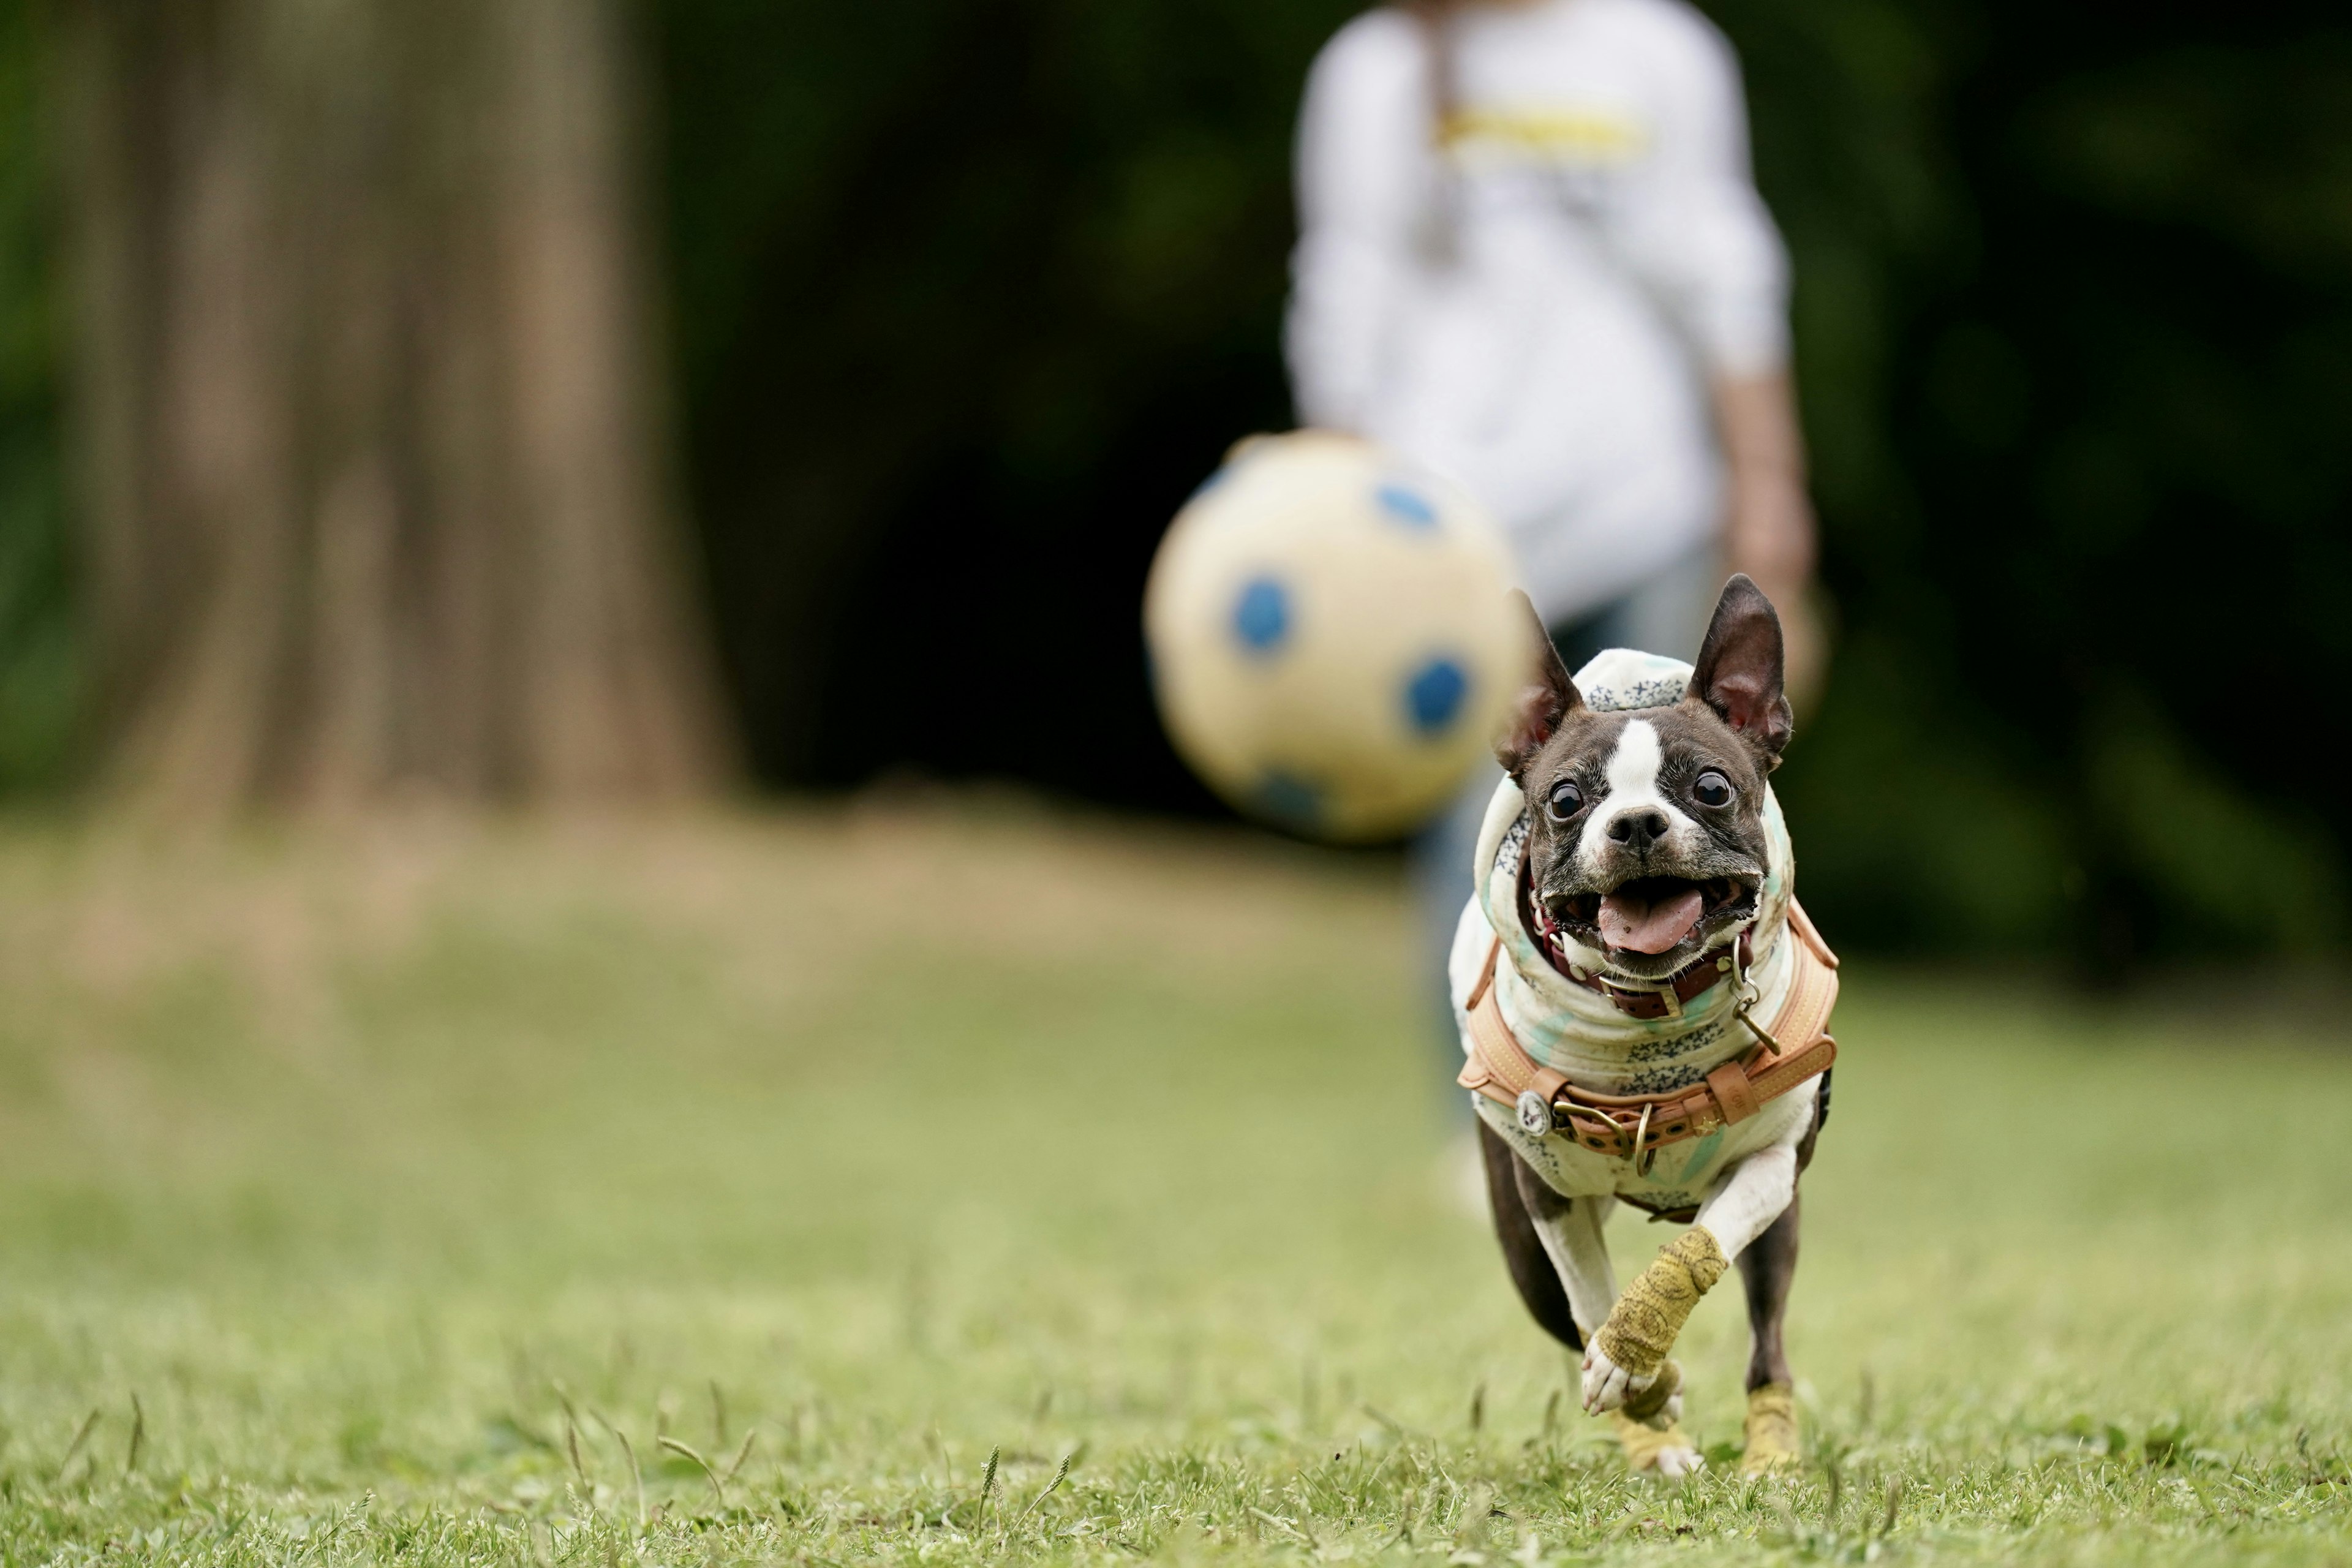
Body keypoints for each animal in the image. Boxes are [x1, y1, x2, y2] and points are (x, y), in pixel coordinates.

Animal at [1449, 573, 1834, 1476]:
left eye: (1712, 788)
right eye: (1564, 800)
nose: (1634, 823)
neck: (1649, 1016)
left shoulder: (1773, 1161)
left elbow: (1704, 1243)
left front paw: (1634, 1351)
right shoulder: (1545, 1193)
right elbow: (1590, 1297)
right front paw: (1638, 1382)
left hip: (1783, 1233)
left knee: (1768, 1339)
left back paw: (1769, 1453)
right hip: (1521, 1256)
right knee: (1565, 1312)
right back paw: (1655, 1441)